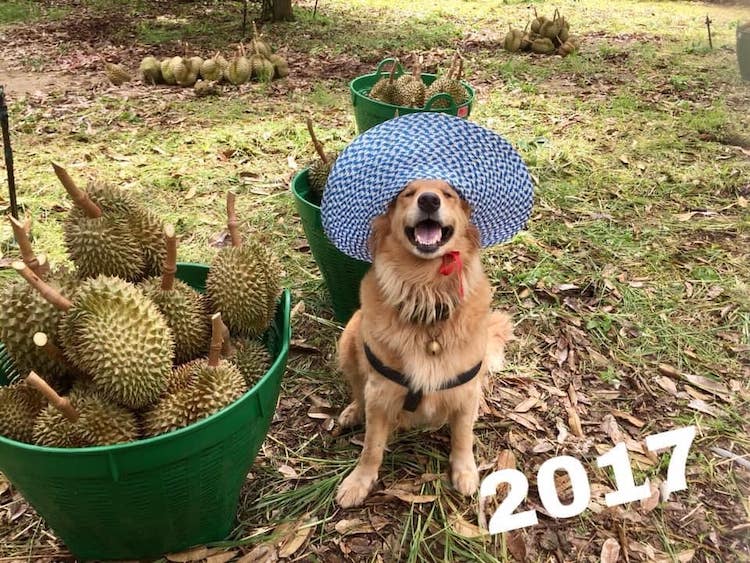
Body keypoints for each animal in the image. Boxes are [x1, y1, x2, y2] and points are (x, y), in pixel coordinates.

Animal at [336, 178, 516, 508]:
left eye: (449, 194)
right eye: (407, 193)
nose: (429, 200)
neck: (427, 297)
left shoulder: (464, 392)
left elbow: (462, 435)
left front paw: (465, 471)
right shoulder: (379, 393)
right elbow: (371, 447)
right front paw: (359, 482)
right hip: (349, 338)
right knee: (357, 389)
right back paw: (353, 411)